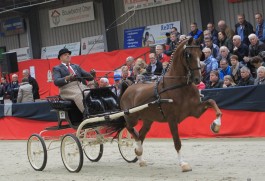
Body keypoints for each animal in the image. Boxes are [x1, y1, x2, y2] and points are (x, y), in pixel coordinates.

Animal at [119, 37, 221, 172]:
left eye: (200, 54)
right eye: (189, 55)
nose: (197, 79)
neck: (179, 86)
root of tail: (128, 88)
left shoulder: (195, 111)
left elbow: (211, 102)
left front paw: (216, 125)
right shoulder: (172, 119)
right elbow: (177, 142)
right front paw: (183, 164)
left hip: (148, 120)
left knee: (140, 134)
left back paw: (140, 157)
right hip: (131, 117)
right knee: (129, 128)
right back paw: (137, 148)